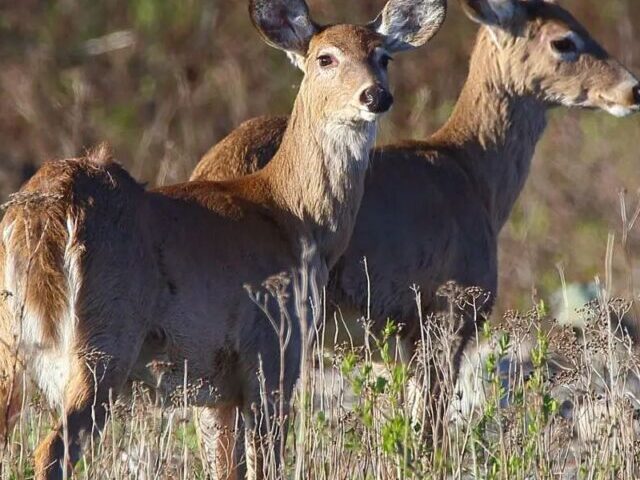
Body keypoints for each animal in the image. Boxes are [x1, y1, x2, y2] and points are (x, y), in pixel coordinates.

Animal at [0, 0, 448, 480]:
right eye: (326, 58)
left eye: (384, 57)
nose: (375, 96)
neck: (292, 215)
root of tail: (47, 208)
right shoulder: (273, 351)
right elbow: (267, 461)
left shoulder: (220, 388)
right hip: (103, 340)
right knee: (52, 450)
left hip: (13, 346)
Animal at [192, 0, 640, 422]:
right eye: (564, 40)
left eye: (385, 57)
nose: (632, 89)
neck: (473, 173)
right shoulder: (448, 315)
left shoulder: (390, 349)